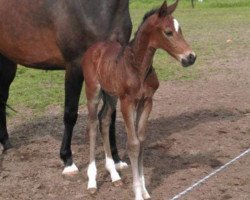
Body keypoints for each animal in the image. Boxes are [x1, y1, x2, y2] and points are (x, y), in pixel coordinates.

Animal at [83, 0, 196, 199]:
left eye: (180, 29)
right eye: (168, 32)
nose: (190, 57)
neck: (137, 67)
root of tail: (94, 49)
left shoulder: (147, 101)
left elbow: (141, 140)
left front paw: (145, 190)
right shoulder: (127, 102)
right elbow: (133, 143)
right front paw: (137, 193)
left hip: (111, 95)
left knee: (104, 120)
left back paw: (114, 175)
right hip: (93, 92)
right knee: (92, 126)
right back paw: (92, 182)